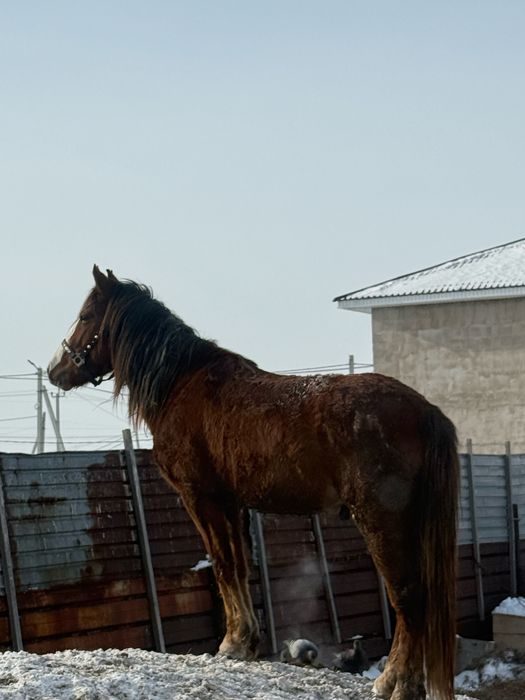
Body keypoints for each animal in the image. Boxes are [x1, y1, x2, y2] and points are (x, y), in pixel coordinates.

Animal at [47, 266, 459, 700]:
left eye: (86, 316)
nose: (55, 370)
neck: (181, 383)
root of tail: (425, 410)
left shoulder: (200, 498)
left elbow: (223, 565)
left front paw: (231, 643)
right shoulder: (232, 503)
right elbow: (240, 567)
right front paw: (246, 641)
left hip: (382, 520)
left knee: (407, 597)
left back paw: (395, 681)